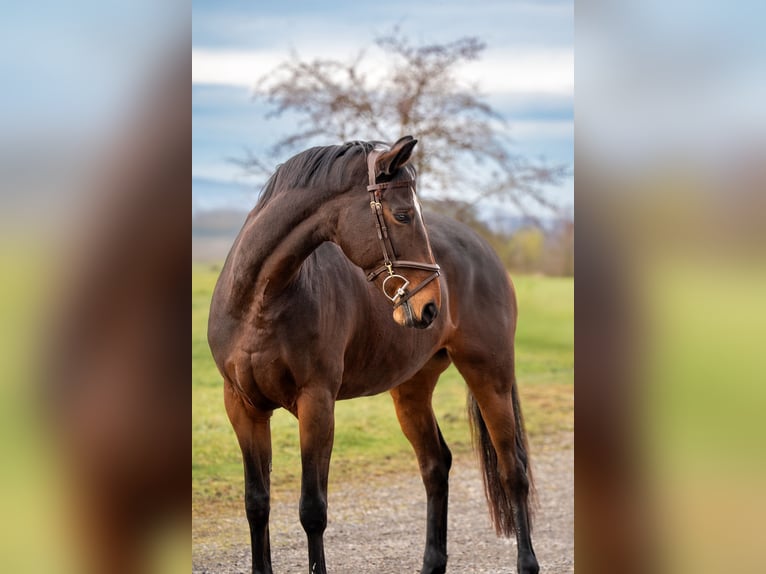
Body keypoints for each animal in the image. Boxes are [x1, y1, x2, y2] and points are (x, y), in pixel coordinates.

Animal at [207, 136, 538, 574]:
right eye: (402, 215)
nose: (430, 306)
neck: (260, 301)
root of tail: (483, 248)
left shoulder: (317, 404)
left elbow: (312, 509)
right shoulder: (243, 407)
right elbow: (256, 504)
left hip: (489, 375)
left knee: (511, 468)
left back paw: (527, 563)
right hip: (412, 389)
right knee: (435, 466)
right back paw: (432, 563)